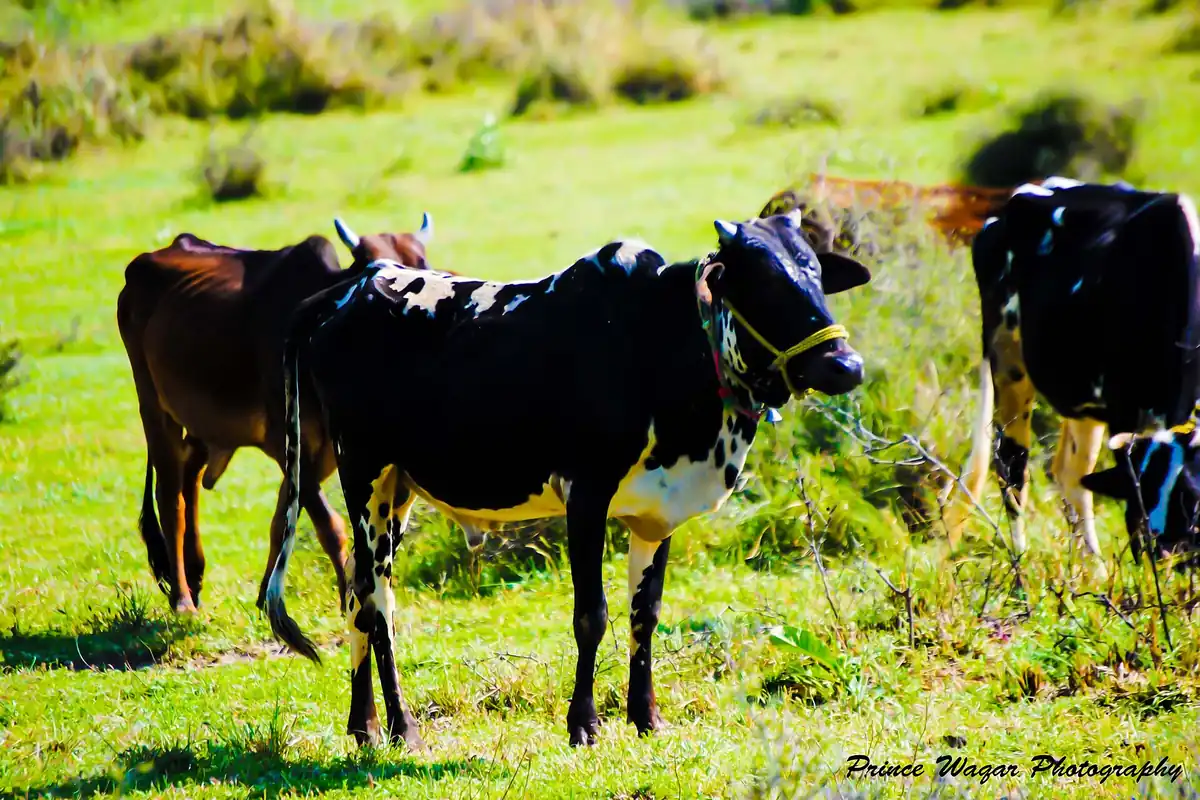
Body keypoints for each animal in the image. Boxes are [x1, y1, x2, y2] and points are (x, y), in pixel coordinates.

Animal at [116, 213, 435, 614]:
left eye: (422, 265)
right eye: (373, 270)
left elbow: (283, 519)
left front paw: (266, 598)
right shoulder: (287, 441)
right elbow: (329, 525)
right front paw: (348, 597)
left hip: (205, 422)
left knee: (190, 477)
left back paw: (196, 572)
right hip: (155, 408)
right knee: (170, 498)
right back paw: (182, 598)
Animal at [262, 211, 872, 748]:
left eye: (815, 272)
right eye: (763, 282)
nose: (845, 365)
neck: (660, 344)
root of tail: (353, 288)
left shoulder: (657, 512)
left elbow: (645, 615)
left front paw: (645, 718)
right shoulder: (586, 495)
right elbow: (591, 616)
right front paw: (584, 725)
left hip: (398, 488)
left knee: (362, 596)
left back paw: (363, 725)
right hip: (362, 472)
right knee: (374, 601)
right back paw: (401, 728)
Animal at [940, 178, 1200, 575]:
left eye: (1193, 502)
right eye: (1139, 508)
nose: (1171, 561)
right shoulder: (1124, 414)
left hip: (1082, 399)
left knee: (1069, 474)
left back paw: (1092, 569)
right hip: (1008, 362)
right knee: (1012, 470)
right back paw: (1021, 573)